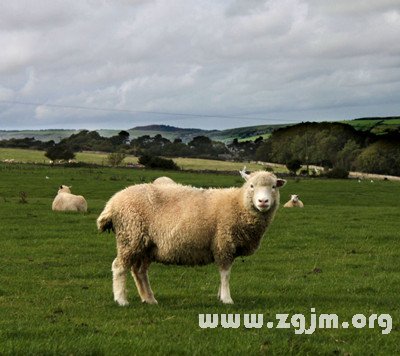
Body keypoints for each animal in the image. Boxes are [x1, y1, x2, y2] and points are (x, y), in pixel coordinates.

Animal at [96, 170, 286, 306]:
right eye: (252, 185)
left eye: (274, 187)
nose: (263, 202)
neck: (238, 203)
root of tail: (112, 202)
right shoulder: (224, 243)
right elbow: (225, 274)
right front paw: (226, 299)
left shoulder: (224, 247)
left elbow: (223, 274)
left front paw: (220, 296)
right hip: (130, 236)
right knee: (119, 267)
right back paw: (121, 300)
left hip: (146, 245)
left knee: (139, 271)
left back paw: (149, 299)